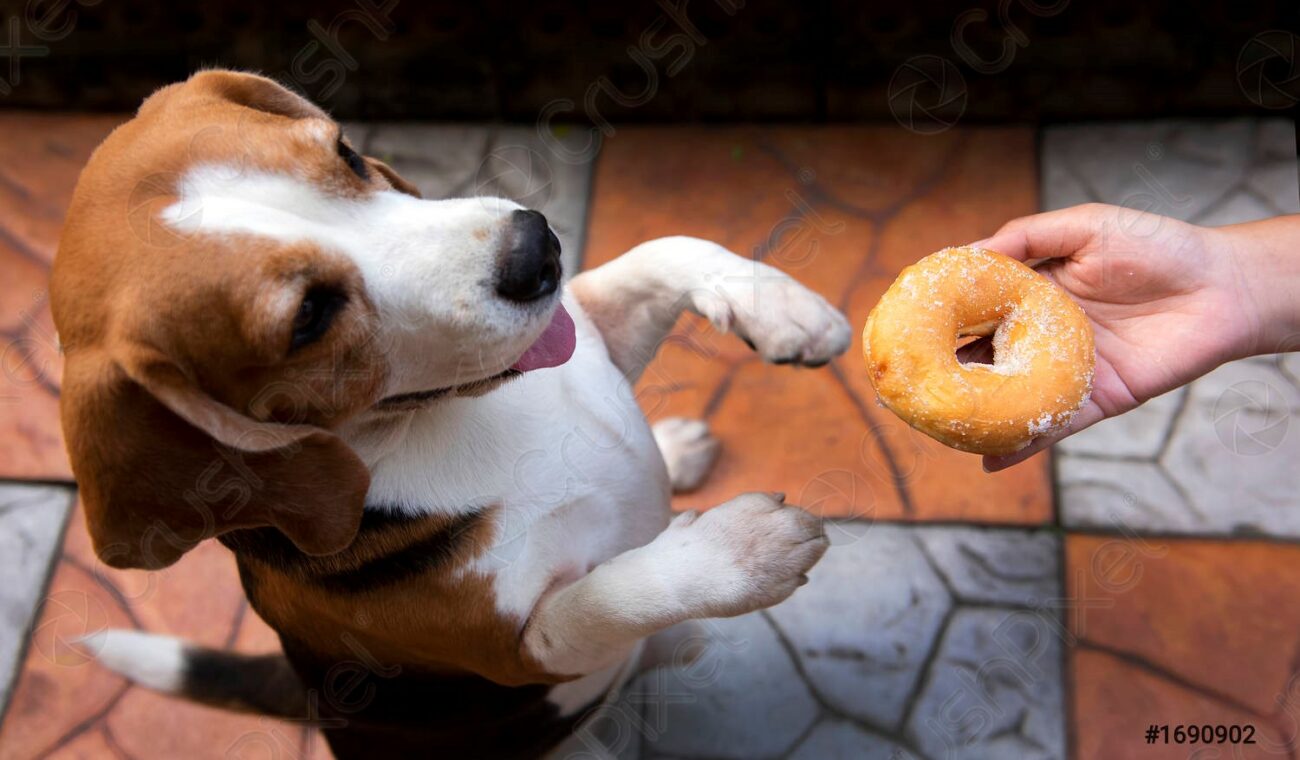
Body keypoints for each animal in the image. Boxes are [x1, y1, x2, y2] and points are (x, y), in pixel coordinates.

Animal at [58, 71, 852, 758]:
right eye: (309, 317)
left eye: (346, 151)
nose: (539, 248)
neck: (438, 417)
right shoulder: (526, 651)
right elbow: (611, 594)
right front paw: (741, 552)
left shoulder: (585, 334)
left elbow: (665, 250)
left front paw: (786, 309)